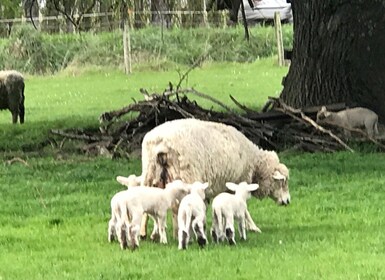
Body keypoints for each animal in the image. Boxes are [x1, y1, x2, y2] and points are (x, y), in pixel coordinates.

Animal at [140, 118, 290, 238]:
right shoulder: (238, 181)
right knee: (178, 208)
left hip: (150, 172)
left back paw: (146, 233)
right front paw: (253, 227)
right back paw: (178, 234)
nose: (288, 201)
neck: (254, 164)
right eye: (282, 181)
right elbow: (244, 208)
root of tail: (161, 142)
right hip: (185, 176)